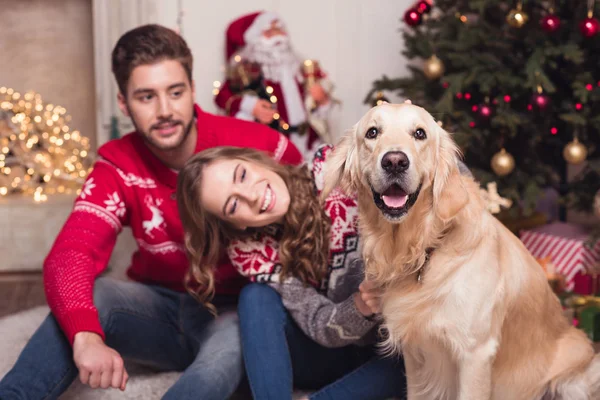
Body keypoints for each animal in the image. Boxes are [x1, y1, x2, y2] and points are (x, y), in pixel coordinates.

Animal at [324, 103, 600, 400]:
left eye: (419, 133)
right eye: (372, 132)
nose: (395, 162)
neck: (424, 248)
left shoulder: (475, 354)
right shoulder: (415, 354)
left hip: (575, 375)